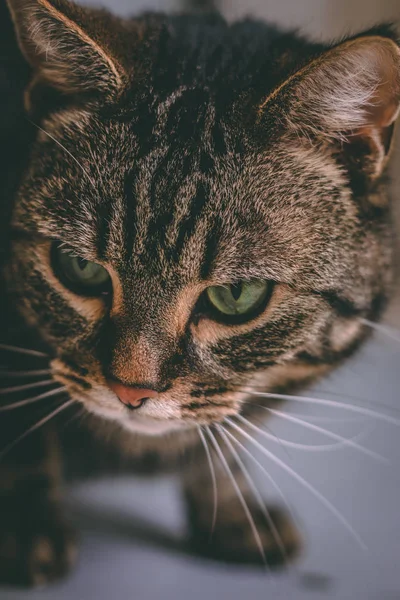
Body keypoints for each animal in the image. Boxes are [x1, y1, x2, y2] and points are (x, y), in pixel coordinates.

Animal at [0, 0, 398, 584]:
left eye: (237, 295)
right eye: (79, 268)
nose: (130, 392)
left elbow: (220, 437)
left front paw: (230, 510)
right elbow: (19, 428)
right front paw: (25, 526)